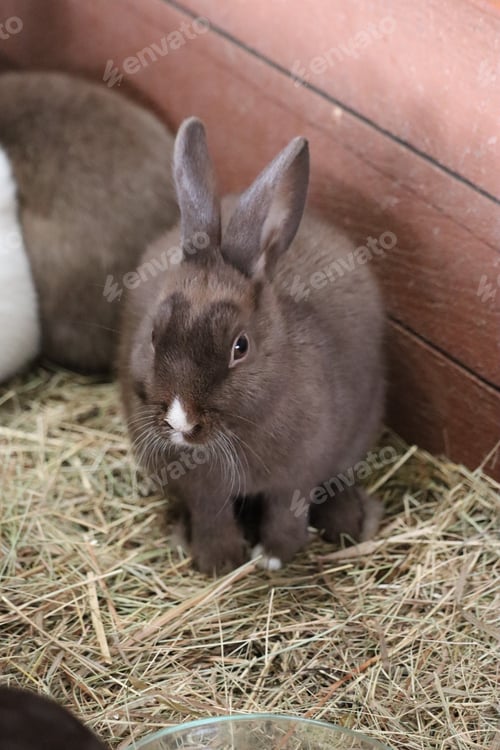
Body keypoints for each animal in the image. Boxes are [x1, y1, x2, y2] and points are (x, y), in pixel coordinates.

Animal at [119, 117, 385, 575]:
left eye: (240, 347)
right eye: (154, 335)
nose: (180, 422)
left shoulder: (296, 476)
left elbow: (286, 511)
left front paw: (274, 557)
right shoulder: (202, 487)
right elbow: (212, 513)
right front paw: (220, 561)